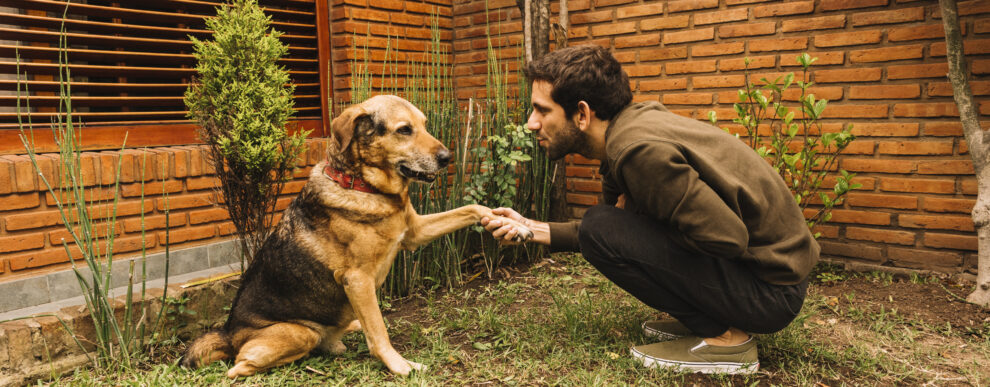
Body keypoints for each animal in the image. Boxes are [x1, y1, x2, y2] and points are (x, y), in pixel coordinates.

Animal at [178, 94, 536, 378]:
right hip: (296, 334)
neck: (366, 187)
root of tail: (227, 332)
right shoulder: (358, 280)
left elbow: (473, 208)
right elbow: (379, 332)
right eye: (404, 130)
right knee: (240, 366)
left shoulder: (414, 233)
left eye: (423, 124)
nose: (447, 158)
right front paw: (400, 366)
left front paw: (512, 224)